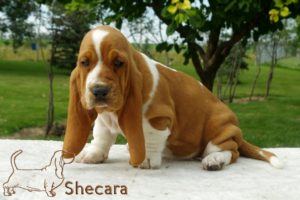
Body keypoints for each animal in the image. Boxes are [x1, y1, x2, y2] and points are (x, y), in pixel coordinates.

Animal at [62, 25, 282, 170]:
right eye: (84, 62)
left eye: (118, 63)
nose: (99, 91)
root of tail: (238, 134)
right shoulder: (104, 119)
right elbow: (101, 137)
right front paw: (93, 154)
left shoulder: (158, 119)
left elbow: (150, 138)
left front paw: (145, 159)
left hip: (219, 130)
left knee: (231, 151)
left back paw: (214, 160)